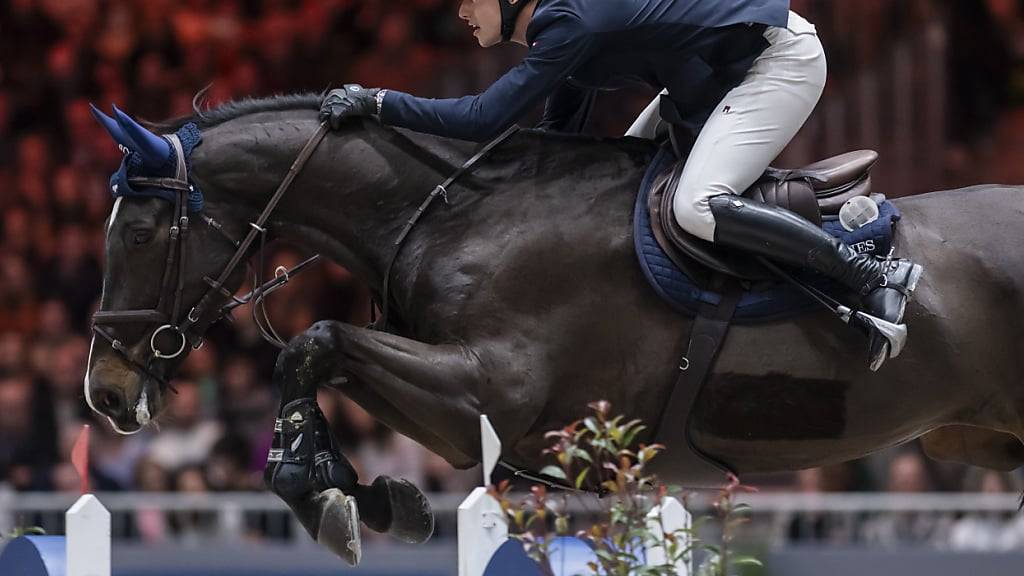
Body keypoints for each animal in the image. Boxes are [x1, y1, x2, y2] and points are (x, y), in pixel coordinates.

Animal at [83, 95, 1024, 564]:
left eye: (138, 234)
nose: (106, 394)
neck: (453, 211)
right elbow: (325, 357)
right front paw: (359, 491)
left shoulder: (486, 394)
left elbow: (316, 344)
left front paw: (327, 495)